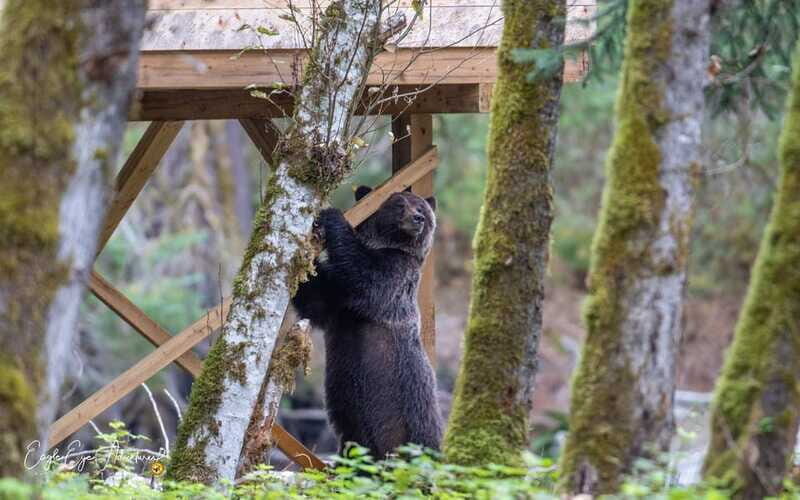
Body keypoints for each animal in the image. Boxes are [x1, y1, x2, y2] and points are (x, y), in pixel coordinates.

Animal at [291, 186, 443, 459]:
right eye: (399, 204)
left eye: (421, 208)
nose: (418, 219)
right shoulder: (337, 304)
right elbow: (315, 300)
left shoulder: (396, 276)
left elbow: (368, 277)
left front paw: (332, 216)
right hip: (355, 427)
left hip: (416, 410)